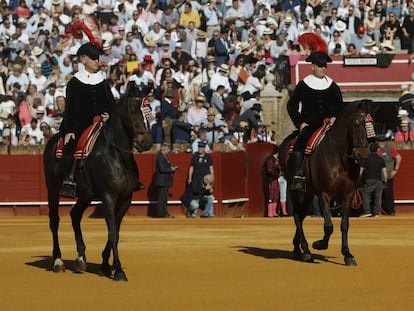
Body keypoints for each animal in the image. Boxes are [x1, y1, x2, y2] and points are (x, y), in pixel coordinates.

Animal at [42, 81, 153, 282]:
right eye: (134, 110)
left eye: (150, 110)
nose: (146, 143)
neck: (117, 154)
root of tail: (53, 140)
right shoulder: (108, 197)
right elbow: (113, 233)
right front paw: (119, 271)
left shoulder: (126, 199)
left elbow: (115, 231)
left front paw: (105, 266)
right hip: (52, 189)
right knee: (54, 220)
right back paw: (58, 261)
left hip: (85, 195)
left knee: (75, 215)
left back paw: (80, 258)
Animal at [278, 102, 368, 266]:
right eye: (356, 123)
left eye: (371, 124)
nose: (362, 156)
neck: (340, 155)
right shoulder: (324, 193)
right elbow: (329, 225)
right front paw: (319, 244)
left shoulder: (348, 194)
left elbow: (344, 224)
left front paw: (347, 255)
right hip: (295, 189)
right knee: (297, 215)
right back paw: (306, 251)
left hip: (308, 192)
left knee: (301, 214)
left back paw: (298, 248)